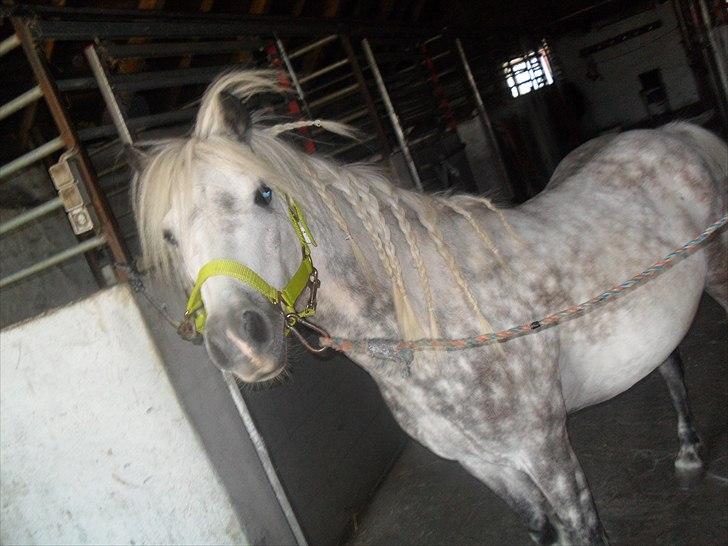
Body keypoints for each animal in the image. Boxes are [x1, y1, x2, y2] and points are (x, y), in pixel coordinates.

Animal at [129, 71, 727, 545]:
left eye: (263, 194)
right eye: (170, 235)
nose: (238, 342)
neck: (434, 333)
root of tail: (673, 134)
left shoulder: (547, 450)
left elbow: (583, 529)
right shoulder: (485, 464)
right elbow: (543, 529)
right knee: (669, 362)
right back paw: (688, 451)